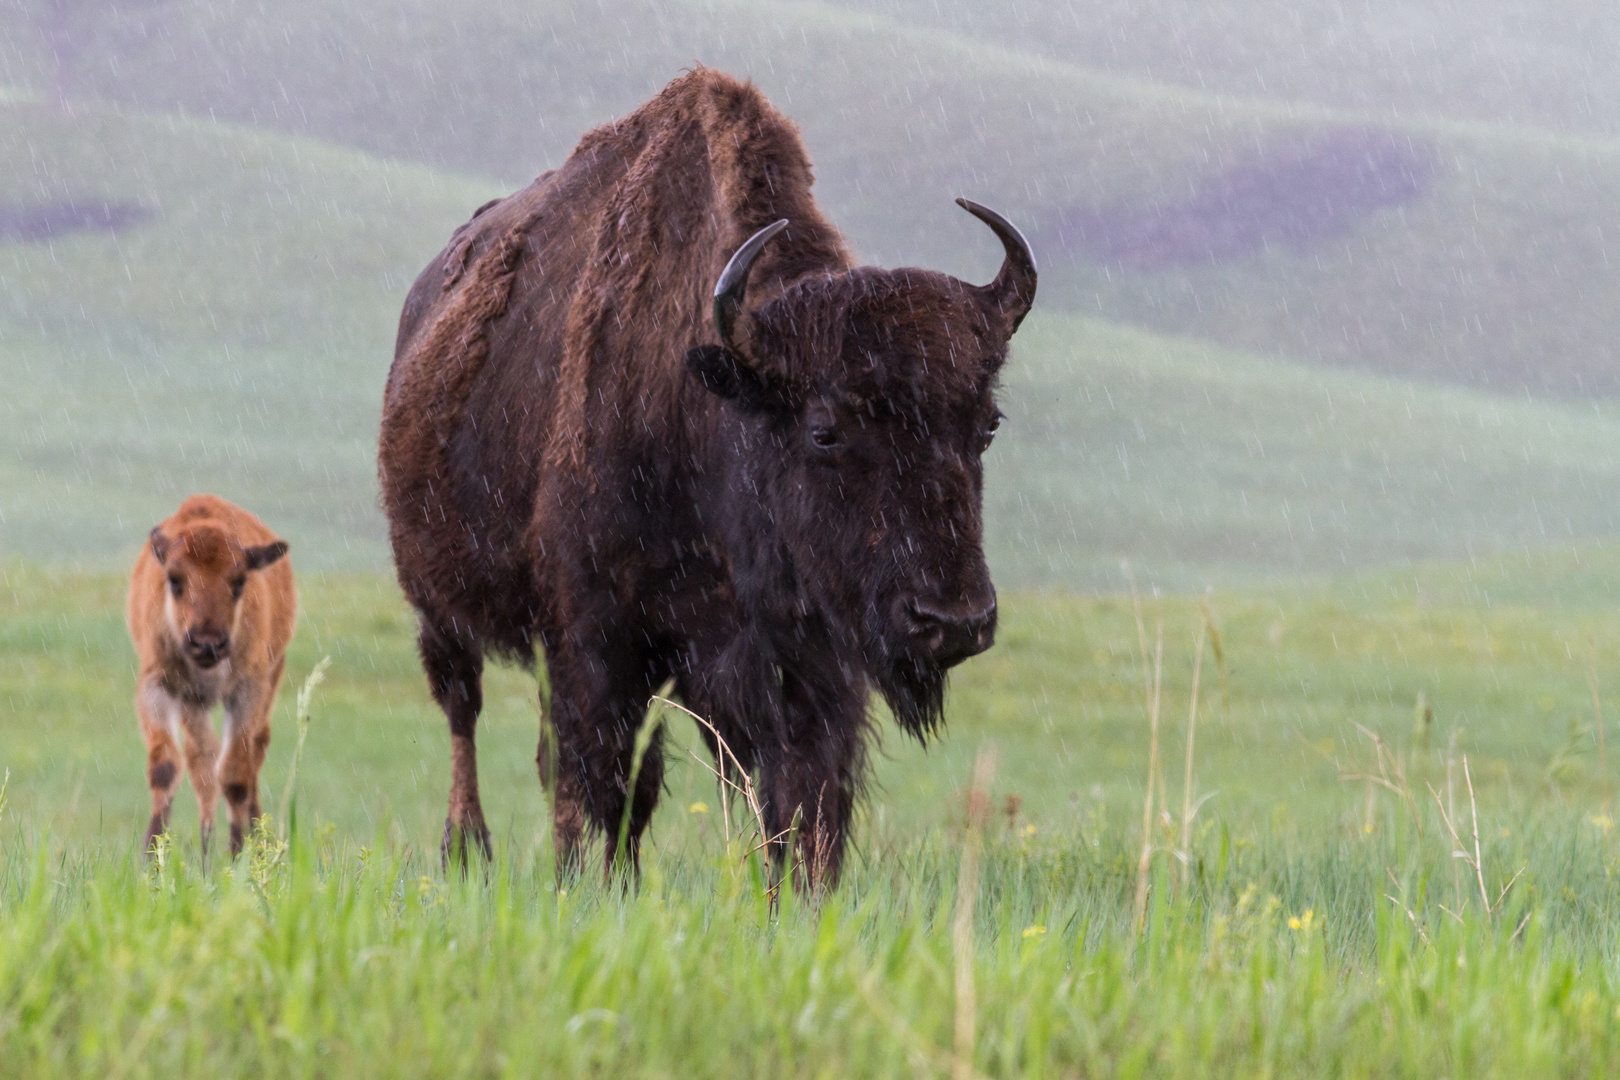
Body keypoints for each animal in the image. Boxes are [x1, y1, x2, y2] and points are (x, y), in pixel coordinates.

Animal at [127, 495, 296, 854]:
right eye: (174, 579)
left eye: (240, 581)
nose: (207, 643)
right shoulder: (161, 685)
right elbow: (166, 766)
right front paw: (152, 854)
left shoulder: (248, 689)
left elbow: (235, 774)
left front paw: (238, 852)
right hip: (195, 703)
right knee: (202, 764)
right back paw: (206, 843)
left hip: (273, 672)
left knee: (253, 752)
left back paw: (254, 836)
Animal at [377, 65, 1030, 887]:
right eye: (823, 430)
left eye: (988, 425)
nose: (953, 621)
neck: (708, 403)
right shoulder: (596, 643)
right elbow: (599, 783)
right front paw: (591, 889)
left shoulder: (806, 664)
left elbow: (802, 799)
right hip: (438, 607)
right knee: (468, 712)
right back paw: (468, 850)